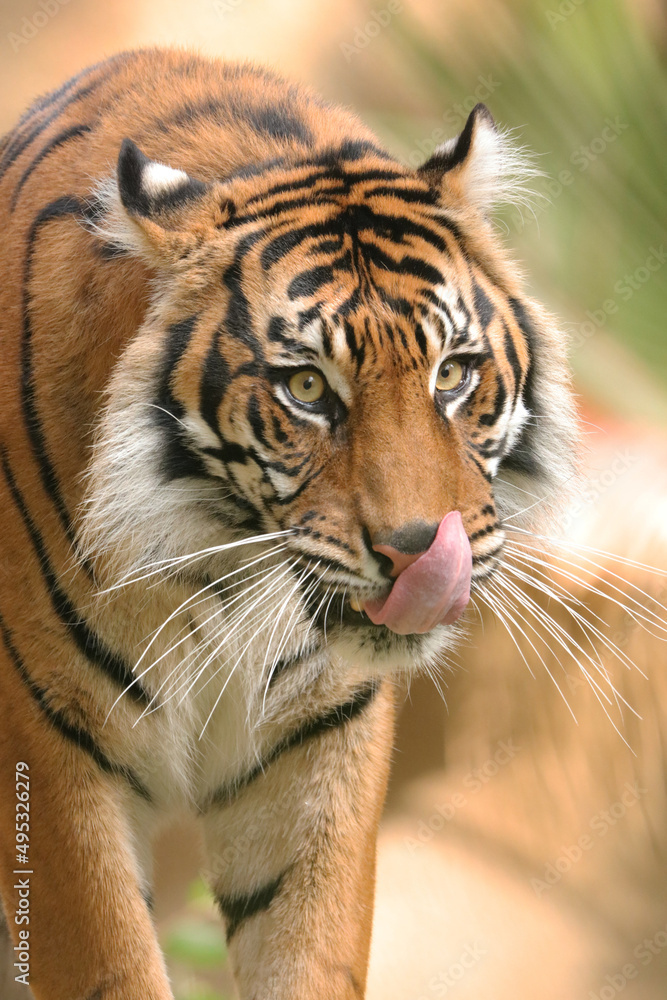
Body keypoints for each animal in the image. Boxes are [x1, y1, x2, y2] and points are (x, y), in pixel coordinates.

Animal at [0, 48, 576, 1000]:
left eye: (452, 374)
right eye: (306, 388)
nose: (419, 556)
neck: (214, 568)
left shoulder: (318, 741)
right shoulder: (49, 751)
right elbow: (112, 964)